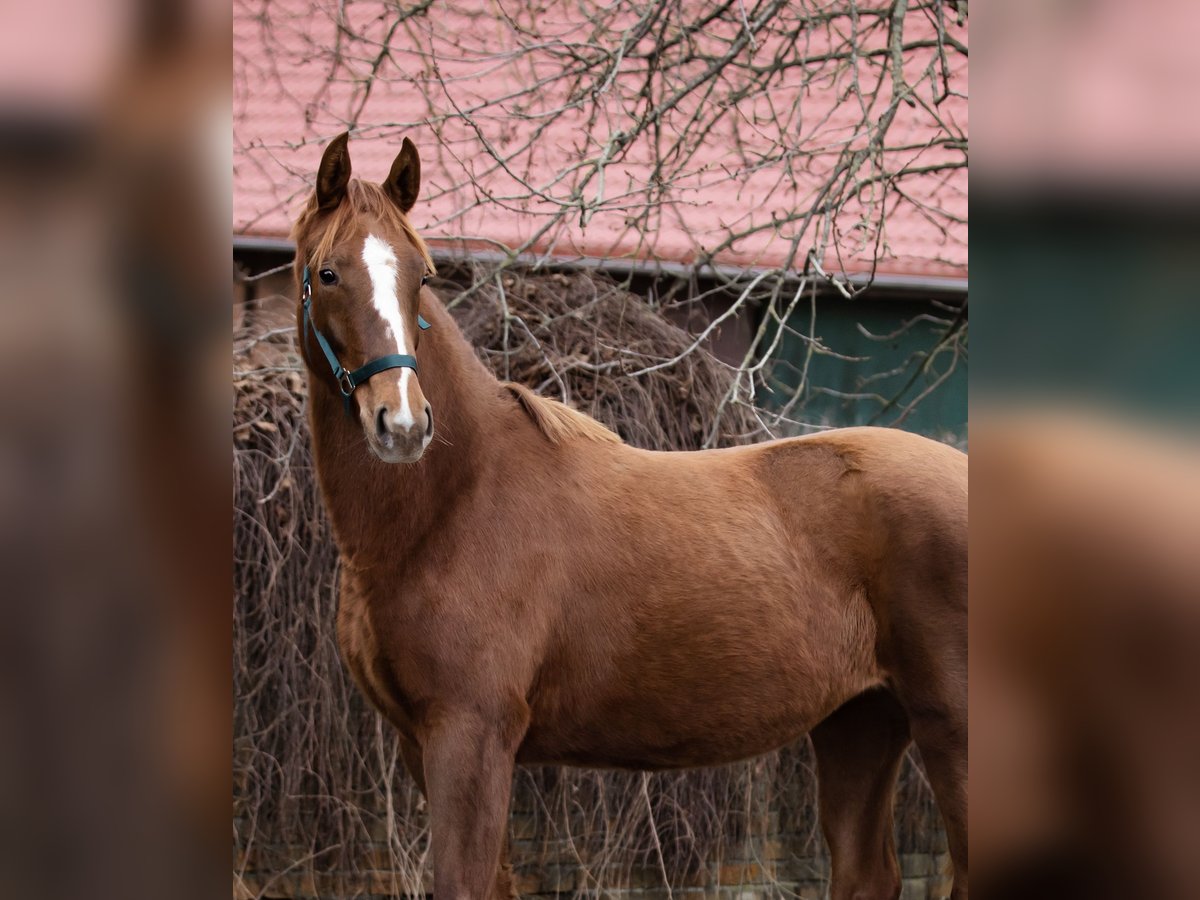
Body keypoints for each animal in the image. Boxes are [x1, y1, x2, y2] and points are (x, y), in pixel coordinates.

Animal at [295, 133, 969, 900]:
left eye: (422, 276)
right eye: (328, 274)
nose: (402, 425)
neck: (451, 505)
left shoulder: (470, 734)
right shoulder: (425, 743)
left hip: (951, 729)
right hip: (860, 724)